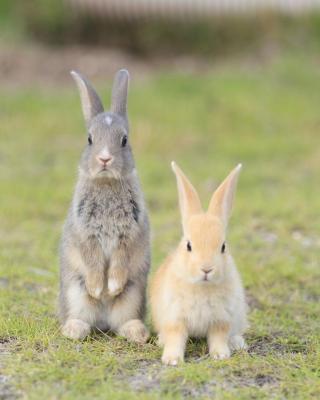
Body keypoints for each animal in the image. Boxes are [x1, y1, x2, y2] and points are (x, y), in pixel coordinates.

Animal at [58, 69, 151, 344]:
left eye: (124, 140)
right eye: (89, 139)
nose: (104, 158)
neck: (107, 183)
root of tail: (103, 322)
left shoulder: (129, 234)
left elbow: (120, 260)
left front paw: (113, 286)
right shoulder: (85, 232)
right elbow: (92, 258)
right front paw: (98, 288)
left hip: (134, 295)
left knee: (123, 322)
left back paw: (137, 333)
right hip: (74, 293)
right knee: (81, 318)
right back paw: (74, 329)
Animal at [150, 161, 248, 364]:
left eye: (223, 247)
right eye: (188, 245)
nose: (206, 269)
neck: (202, 286)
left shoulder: (221, 319)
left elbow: (219, 337)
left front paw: (221, 355)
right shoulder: (175, 318)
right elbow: (176, 337)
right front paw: (172, 359)